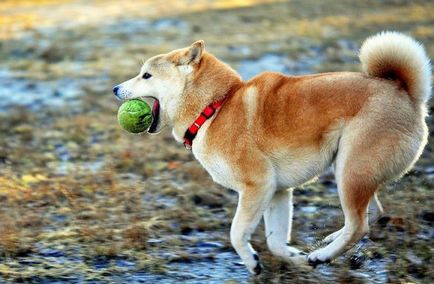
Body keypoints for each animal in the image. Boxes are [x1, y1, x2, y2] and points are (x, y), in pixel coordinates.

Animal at [113, 31, 432, 276]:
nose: (115, 88)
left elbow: (236, 233)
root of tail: (405, 92)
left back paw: (324, 254)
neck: (215, 108)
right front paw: (295, 258)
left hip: (350, 172)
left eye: (146, 75)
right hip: (351, 171)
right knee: (372, 214)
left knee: (359, 224)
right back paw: (329, 241)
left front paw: (252, 263)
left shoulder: (257, 186)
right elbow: (275, 242)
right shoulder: (277, 192)